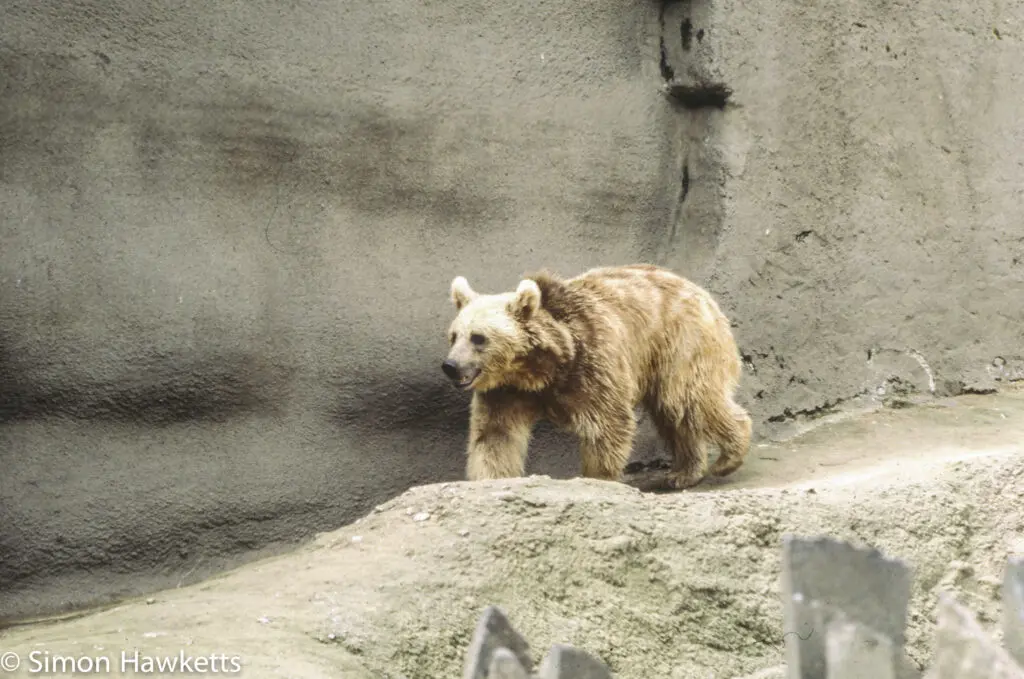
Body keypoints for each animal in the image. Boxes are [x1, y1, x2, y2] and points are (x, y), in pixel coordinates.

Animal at [441, 263, 752, 490]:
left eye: (478, 338)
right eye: (454, 336)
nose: (451, 366)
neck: (541, 369)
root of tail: (701, 293)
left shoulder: (593, 363)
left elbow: (606, 424)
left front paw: (598, 479)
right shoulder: (506, 391)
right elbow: (495, 436)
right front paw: (490, 480)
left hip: (681, 344)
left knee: (690, 398)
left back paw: (728, 456)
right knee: (672, 413)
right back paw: (685, 472)